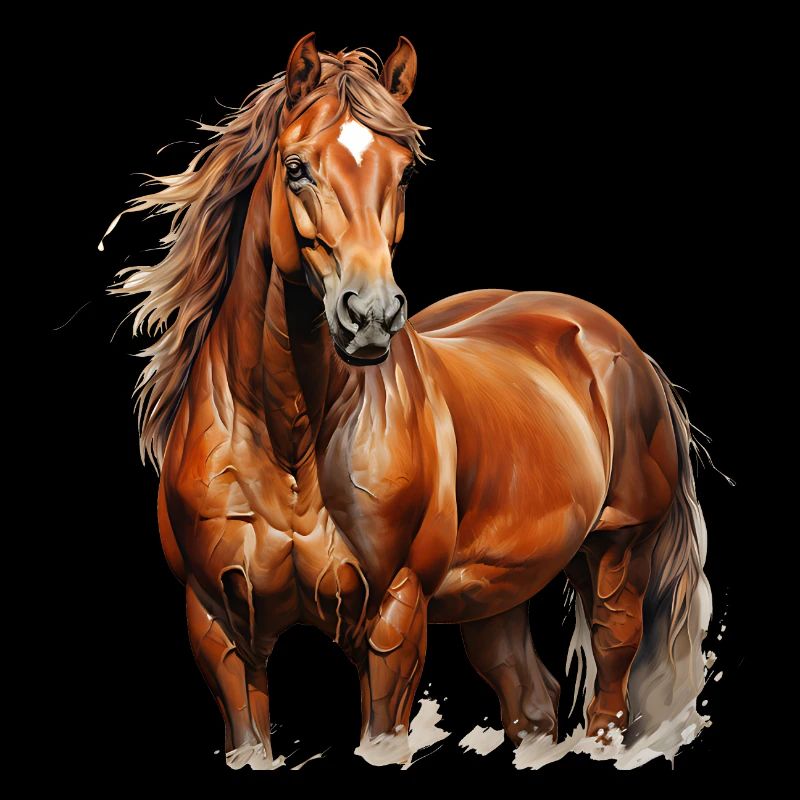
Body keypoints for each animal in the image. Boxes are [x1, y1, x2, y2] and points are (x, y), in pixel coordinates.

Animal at [108, 34, 712, 769]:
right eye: (297, 168)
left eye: (402, 174)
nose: (370, 314)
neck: (287, 437)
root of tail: (613, 342)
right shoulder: (220, 629)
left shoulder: (394, 618)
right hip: (495, 597)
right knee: (531, 700)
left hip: (617, 555)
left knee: (610, 683)